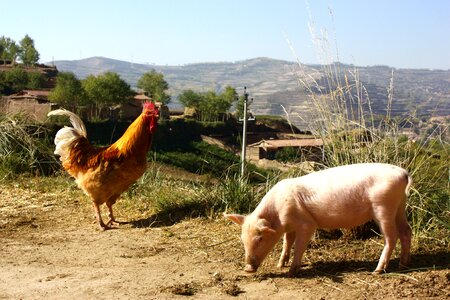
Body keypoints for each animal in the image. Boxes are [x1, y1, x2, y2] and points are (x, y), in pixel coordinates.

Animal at [225, 163, 412, 276]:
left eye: (260, 238)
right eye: (242, 239)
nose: (247, 269)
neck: (278, 214)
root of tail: (403, 173)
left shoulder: (306, 223)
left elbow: (299, 245)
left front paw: (292, 271)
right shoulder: (290, 226)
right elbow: (287, 241)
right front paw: (280, 265)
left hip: (383, 207)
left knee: (391, 237)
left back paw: (377, 271)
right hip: (399, 206)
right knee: (406, 231)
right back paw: (403, 265)